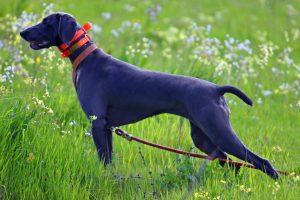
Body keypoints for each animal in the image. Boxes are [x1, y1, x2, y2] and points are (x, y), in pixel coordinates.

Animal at [20, 12, 278, 178]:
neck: (86, 58)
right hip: (203, 137)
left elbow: (103, 160)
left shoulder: (97, 124)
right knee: (233, 164)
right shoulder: (107, 127)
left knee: (262, 162)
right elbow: (110, 161)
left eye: (46, 22)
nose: (22, 32)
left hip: (219, 132)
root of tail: (216, 89)